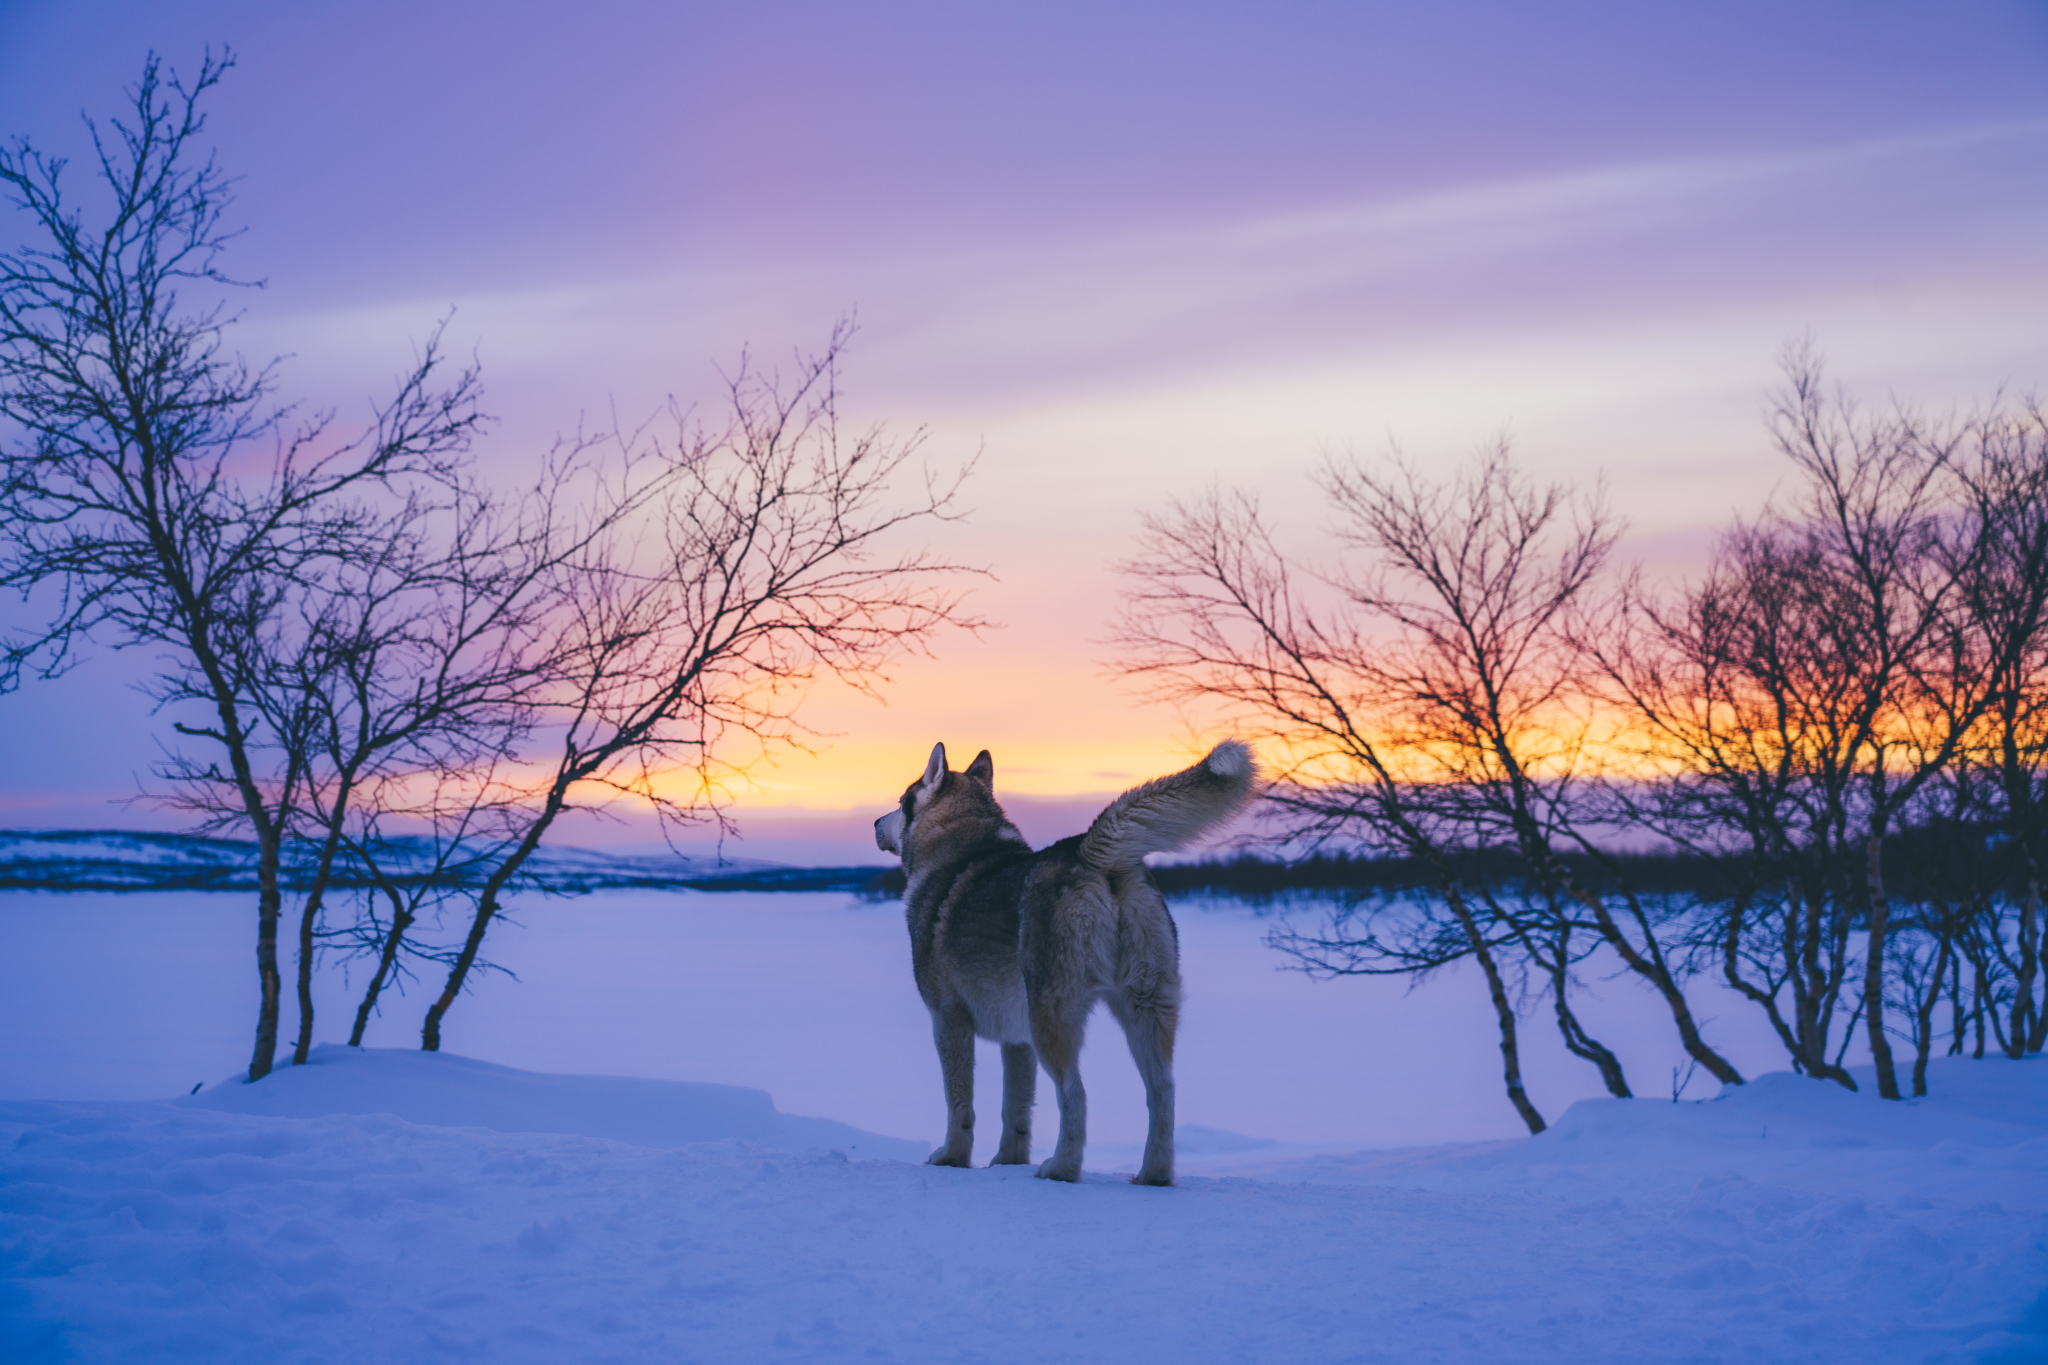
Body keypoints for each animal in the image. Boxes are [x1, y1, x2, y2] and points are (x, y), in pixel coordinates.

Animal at [872, 740, 1253, 1178]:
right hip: (1144, 1007)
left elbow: (960, 1105)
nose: (875, 822)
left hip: (1051, 1017)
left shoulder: (948, 1021)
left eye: (901, 801)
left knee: (1076, 1094)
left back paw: (1062, 1167)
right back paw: (1153, 1175)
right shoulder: (1016, 1039)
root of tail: (1087, 851)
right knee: (1163, 1091)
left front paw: (952, 1158)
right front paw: (1008, 1162)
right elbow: (1015, 1110)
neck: (954, 851)